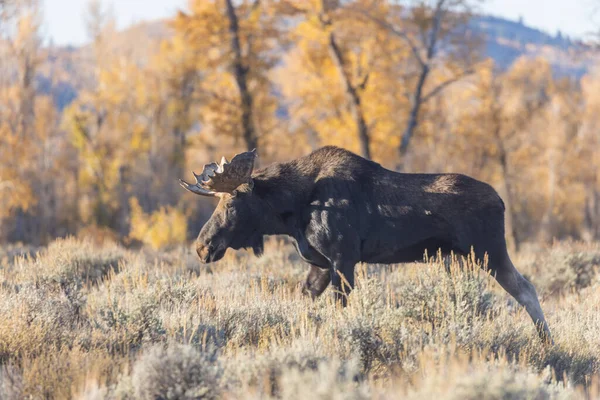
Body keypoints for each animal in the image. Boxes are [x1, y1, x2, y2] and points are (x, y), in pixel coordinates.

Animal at [179, 146, 552, 340]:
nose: (202, 246)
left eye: (230, 204)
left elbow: (340, 308)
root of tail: (501, 201)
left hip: (490, 252)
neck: (291, 211)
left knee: (526, 288)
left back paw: (546, 340)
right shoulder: (322, 265)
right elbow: (307, 301)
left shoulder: (343, 259)